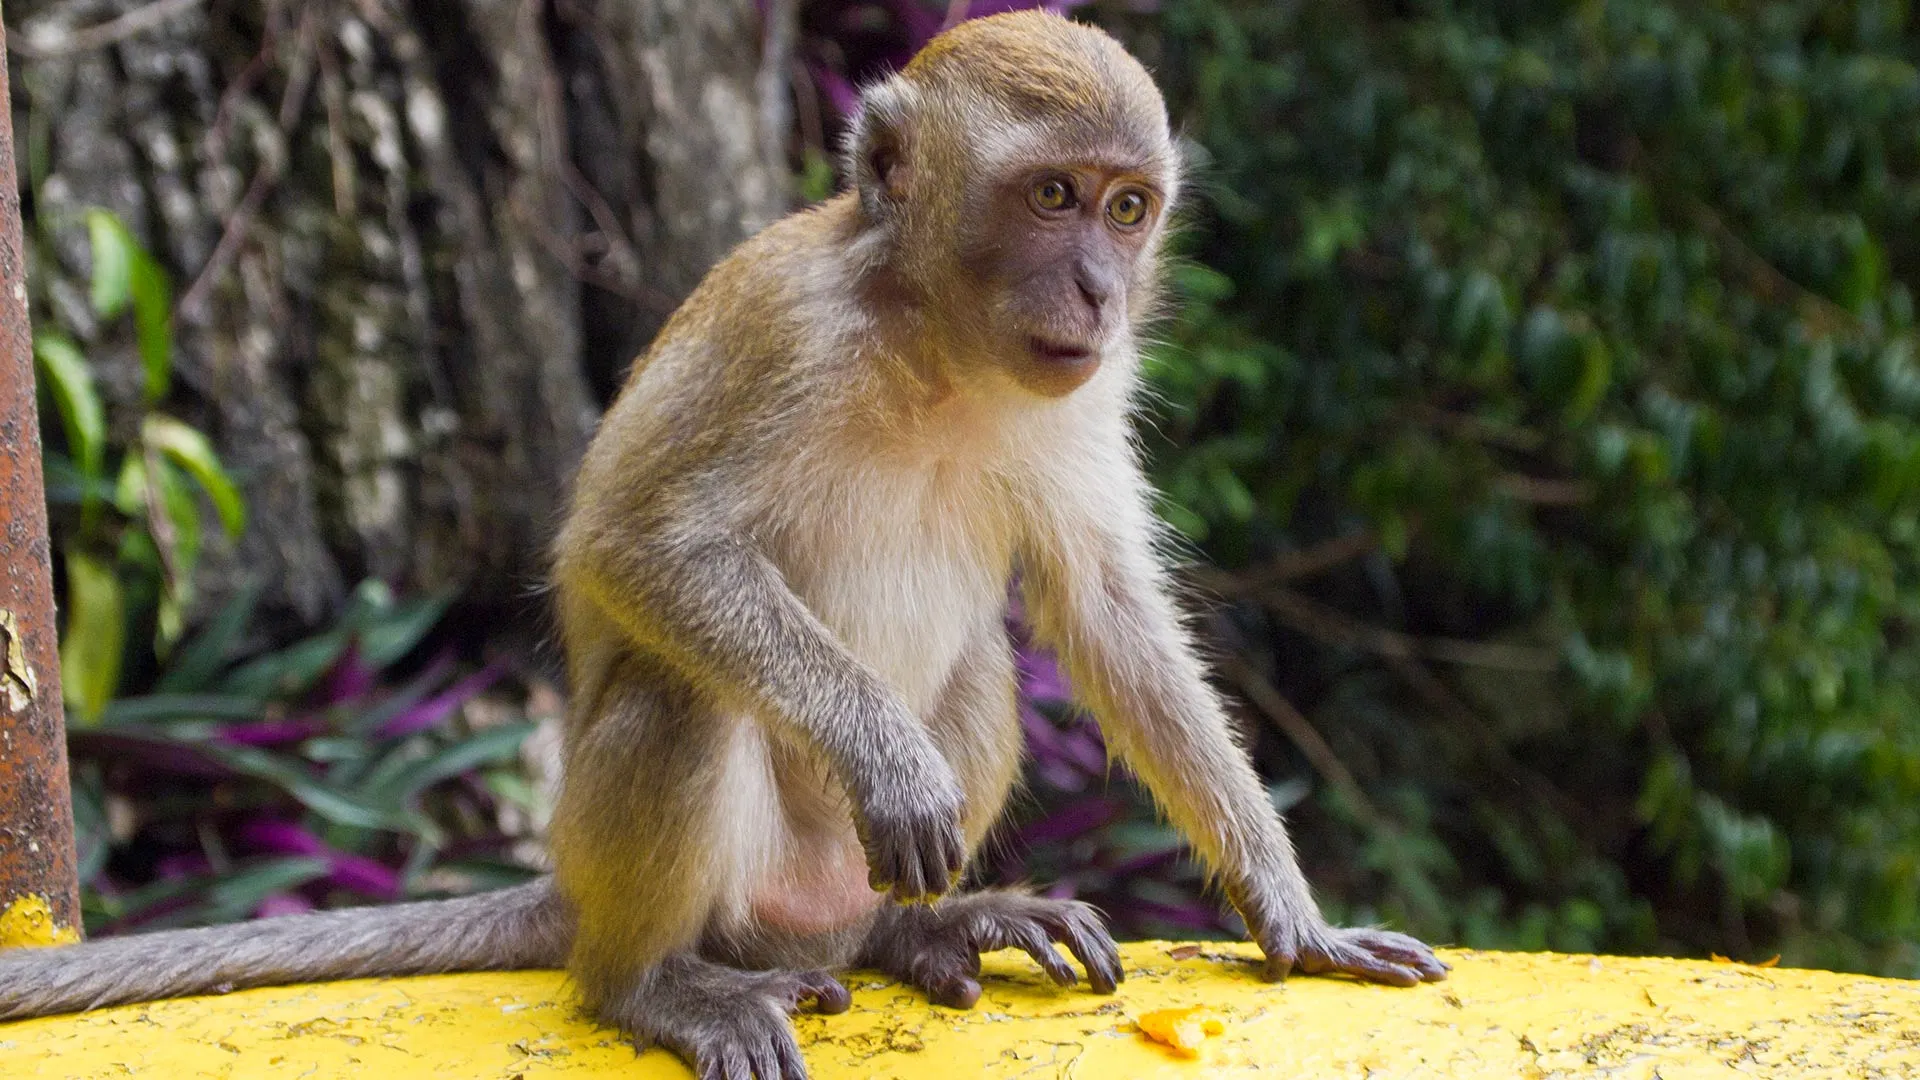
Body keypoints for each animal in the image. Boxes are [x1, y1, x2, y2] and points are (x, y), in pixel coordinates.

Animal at [0, 12, 1445, 1080]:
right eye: (1051, 197)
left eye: (1129, 207)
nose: (1097, 289)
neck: (937, 348)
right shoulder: (786, 327)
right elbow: (635, 543)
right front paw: (885, 757)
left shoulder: (1089, 388)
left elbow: (1105, 610)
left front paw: (1292, 915)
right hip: (684, 870)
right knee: (678, 694)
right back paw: (653, 987)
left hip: (817, 888)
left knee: (980, 670)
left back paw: (915, 932)